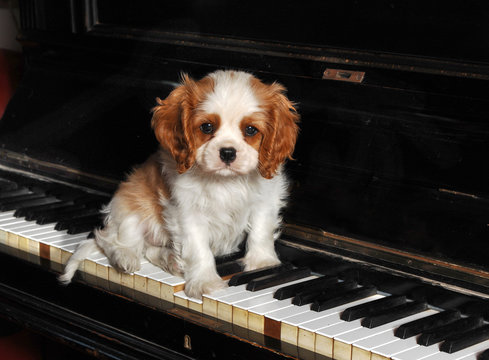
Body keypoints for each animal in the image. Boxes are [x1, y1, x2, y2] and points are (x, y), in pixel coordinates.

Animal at [59, 70, 300, 298]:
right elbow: (199, 248)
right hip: (130, 209)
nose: (228, 152)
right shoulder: (188, 213)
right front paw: (204, 283)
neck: (224, 180)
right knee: (113, 240)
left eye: (250, 130)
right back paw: (125, 257)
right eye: (207, 127)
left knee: (148, 248)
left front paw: (263, 263)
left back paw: (171, 260)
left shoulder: (265, 200)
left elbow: (261, 230)